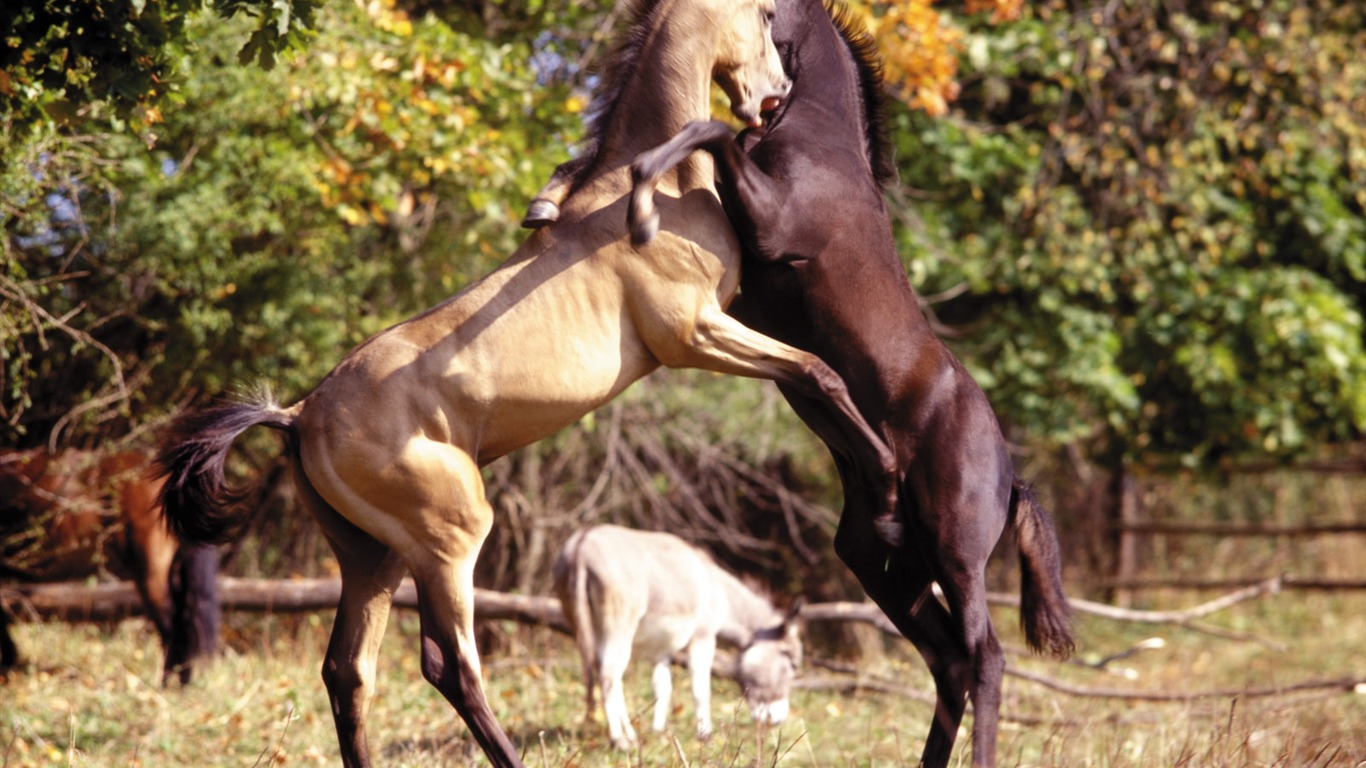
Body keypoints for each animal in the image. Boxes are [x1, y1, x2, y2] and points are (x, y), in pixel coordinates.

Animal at [551, 522, 797, 743]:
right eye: (792, 662)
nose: (778, 720)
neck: (719, 589)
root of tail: (582, 544)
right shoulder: (703, 637)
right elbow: (701, 688)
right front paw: (705, 735)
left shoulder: (662, 651)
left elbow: (663, 687)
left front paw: (658, 732)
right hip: (619, 627)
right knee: (609, 675)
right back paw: (620, 739)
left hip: (587, 625)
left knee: (605, 672)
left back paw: (630, 734)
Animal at [611, 0, 1076, 759]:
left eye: (766, 14)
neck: (818, 141)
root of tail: (1013, 480)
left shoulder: (769, 226)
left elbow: (711, 133)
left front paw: (641, 190)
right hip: (885, 564)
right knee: (949, 662)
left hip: (955, 555)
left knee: (985, 658)